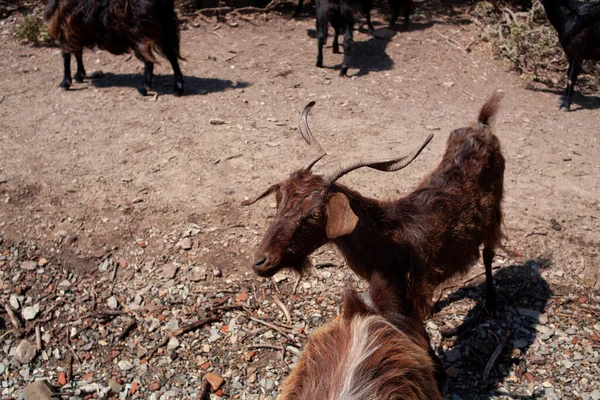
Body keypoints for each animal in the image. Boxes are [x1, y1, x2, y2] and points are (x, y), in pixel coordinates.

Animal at [44, 0, 184, 95]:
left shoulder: (64, 25)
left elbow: (66, 55)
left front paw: (65, 83)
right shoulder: (75, 29)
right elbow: (78, 53)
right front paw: (79, 75)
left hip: (142, 30)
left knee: (149, 60)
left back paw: (144, 88)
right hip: (165, 26)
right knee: (172, 54)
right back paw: (178, 87)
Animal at [241, 92, 504, 318]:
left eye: (315, 214)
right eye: (279, 201)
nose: (260, 262)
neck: (389, 241)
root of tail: (482, 127)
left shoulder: (414, 291)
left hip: (495, 214)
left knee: (489, 253)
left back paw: (492, 302)